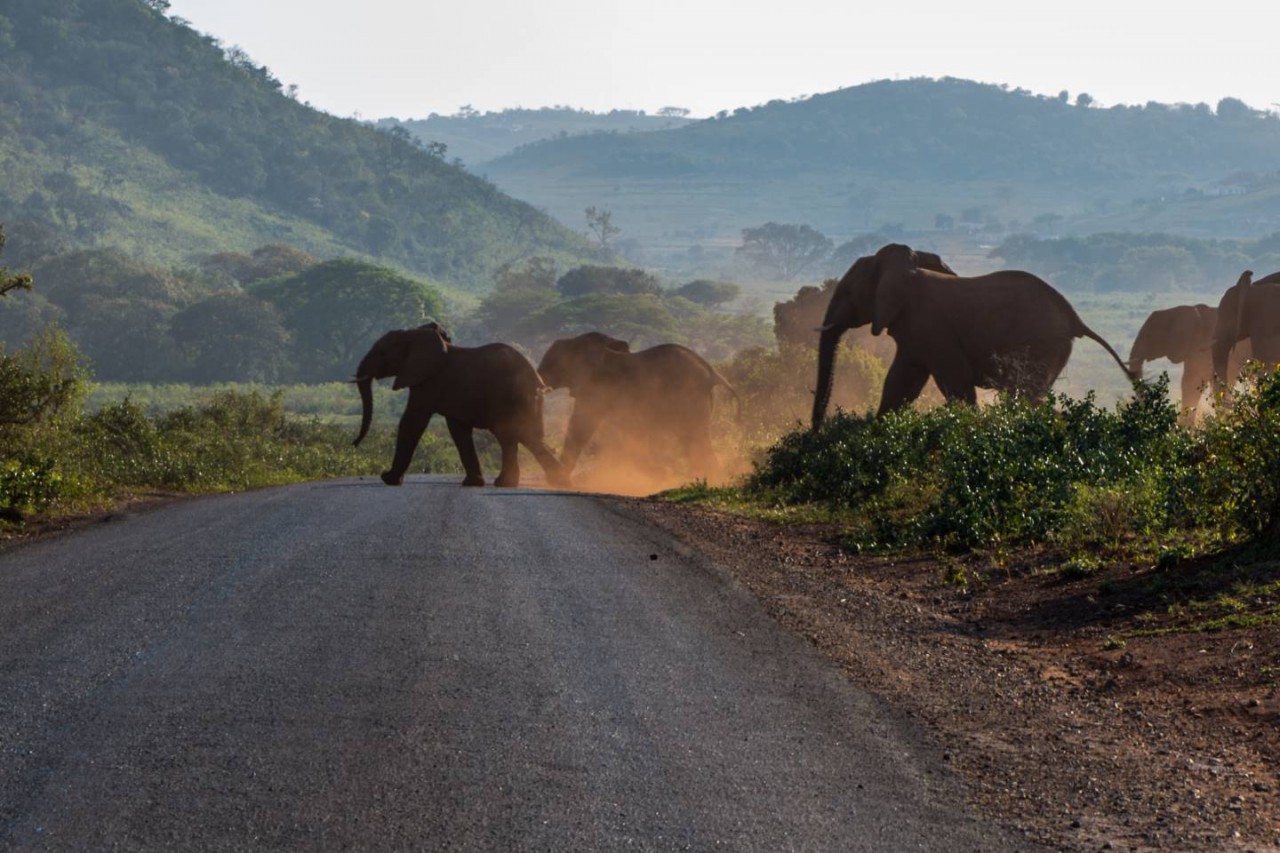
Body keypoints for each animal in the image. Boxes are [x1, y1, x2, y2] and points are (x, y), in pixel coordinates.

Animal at [353, 324, 568, 484]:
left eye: (382, 353)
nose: (354, 444)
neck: (416, 334)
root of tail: (537, 381)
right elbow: (458, 430)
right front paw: (473, 483)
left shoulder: (427, 381)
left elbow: (412, 422)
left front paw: (388, 479)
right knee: (523, 436)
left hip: (509, 397)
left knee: (513, 434)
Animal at [537, 327, 742, 481]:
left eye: (552, 363)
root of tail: (712, 373)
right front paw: (660, 474)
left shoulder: (596, 389)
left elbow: (581, 425)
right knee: (693, 441)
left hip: (689, 398)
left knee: (695, 439)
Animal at [808, 240, 1131, 422]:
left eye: (848, 292)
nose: (816, 430)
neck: (907, 275)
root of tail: (1075, 318)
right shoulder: (915, 336)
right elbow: (900, 384)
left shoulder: (933, 329)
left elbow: (956, 382)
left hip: (1042, 344)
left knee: (1024, 395)